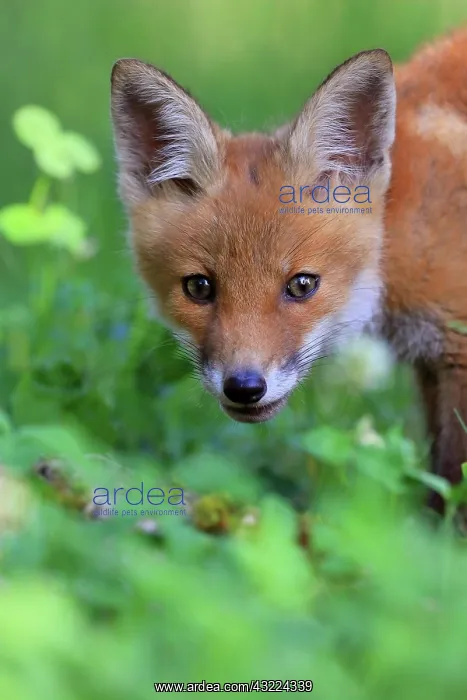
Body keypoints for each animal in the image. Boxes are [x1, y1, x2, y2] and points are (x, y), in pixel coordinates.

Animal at [110, 29, 467, 510]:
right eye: (199, 287)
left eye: (301, 285)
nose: (244, 387)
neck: (399, 231)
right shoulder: (433, 365)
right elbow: (440, 483)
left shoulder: (457, 350)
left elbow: (452, 478)